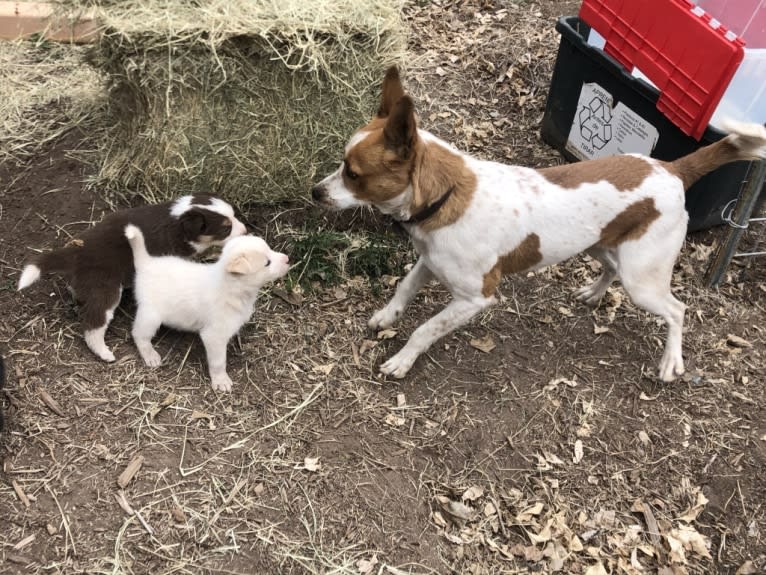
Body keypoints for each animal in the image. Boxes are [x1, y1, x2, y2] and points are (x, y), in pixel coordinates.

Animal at [17, 196, 246, 362]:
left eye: (234, 215)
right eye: (226, 228)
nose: (245, 230)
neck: (176, 221)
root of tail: (76, 252)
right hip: (106, 291)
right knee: (93, 327)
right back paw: (104, 352)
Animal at [123, 225, 292, 392]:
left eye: (270, 249)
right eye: (267, 263)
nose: (288, 259)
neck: (230, 287)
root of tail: (147, 263)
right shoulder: (214, 337)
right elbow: (218, 362)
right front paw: (220, 380)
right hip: (150, 316)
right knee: (139, 334)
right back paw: (150, 355)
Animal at [312, 66, 766, 382]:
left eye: (353, 173)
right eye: (343, 165)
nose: (316, 192)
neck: (448, 194)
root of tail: (672, 168)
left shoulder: (476, 298)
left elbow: (426, 328)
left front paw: (402, 359)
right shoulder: (429, 261)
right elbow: (404, 288)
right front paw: (386, 316)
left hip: (643, 278)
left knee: (676, 309)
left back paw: (671, 360)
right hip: (602, 244)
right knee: (611, 268)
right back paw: (593, 293)